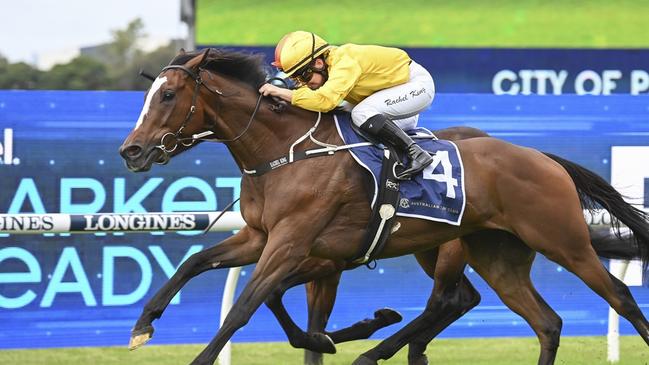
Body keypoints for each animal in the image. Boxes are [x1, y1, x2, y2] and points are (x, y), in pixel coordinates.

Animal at [119, 49, 644, 364]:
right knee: (544, 322)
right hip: (496, 253)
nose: (132, 151)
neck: (286, 150)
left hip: (559, 240)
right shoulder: (260, 237)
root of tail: (541, 157)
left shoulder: (293, 243)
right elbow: (195, 263)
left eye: (168, 95)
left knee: (617, 295)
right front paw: (144, 325)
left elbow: (246, 306)